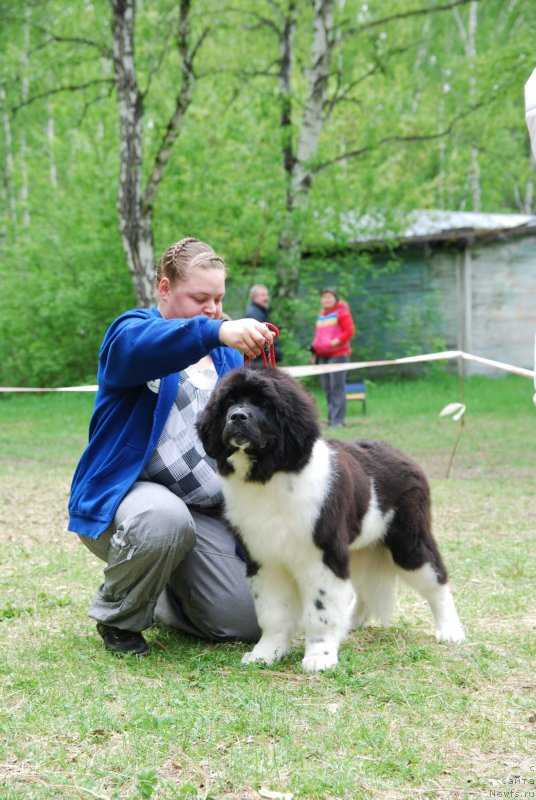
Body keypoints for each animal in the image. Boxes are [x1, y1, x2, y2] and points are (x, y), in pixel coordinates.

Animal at [197, 366, 464, 672]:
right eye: (229, 403)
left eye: (263, 404)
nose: (238, 416)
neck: (271, 476)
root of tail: (404, 457)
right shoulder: (264, 559)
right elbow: (272, 612)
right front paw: (266, 652)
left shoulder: (322, 556)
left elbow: (320, 611)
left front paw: (319, 656)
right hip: (360, 548)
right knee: (362, 590)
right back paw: (351, 622)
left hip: (408, 542)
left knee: (437, 580)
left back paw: (450, 630)